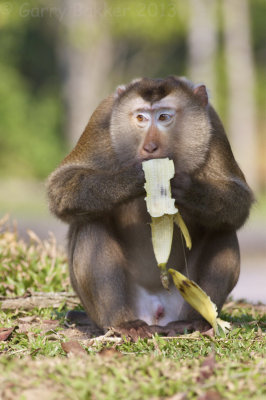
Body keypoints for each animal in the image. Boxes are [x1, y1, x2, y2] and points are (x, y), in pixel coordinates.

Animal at [47, 76, 254, 336]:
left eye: (164, 117)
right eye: (141, 118)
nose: (150, 147)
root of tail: (157, 315)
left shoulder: (214, 126)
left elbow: (238, 200)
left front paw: (185, 188)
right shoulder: (101, 118)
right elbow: (61, 186)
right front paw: (135, 178)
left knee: (223, 229)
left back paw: (196, 321)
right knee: (90, 223)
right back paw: (122, 323)